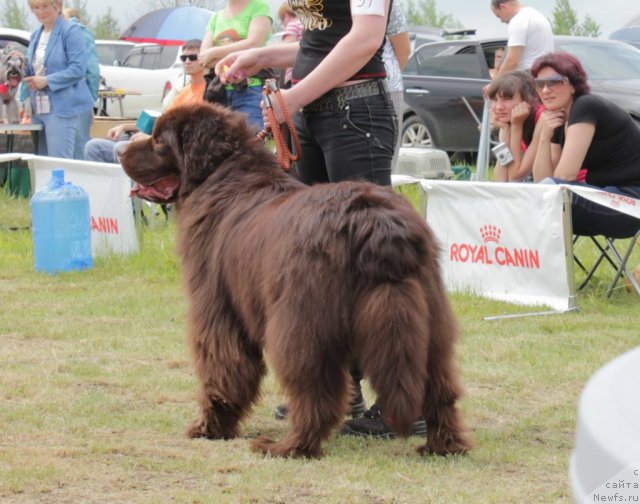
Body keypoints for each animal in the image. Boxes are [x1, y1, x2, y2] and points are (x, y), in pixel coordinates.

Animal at [119, 102, 470, 456]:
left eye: (159, 141)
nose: (120, 148)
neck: (223, 177)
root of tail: (376, 223)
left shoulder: (217, 310)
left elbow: (222, 373)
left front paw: (209, 428)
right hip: (429, 321)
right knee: (439, 388)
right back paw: (443, 445)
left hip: (300, 325)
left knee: (315, 393)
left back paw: (286, 446)